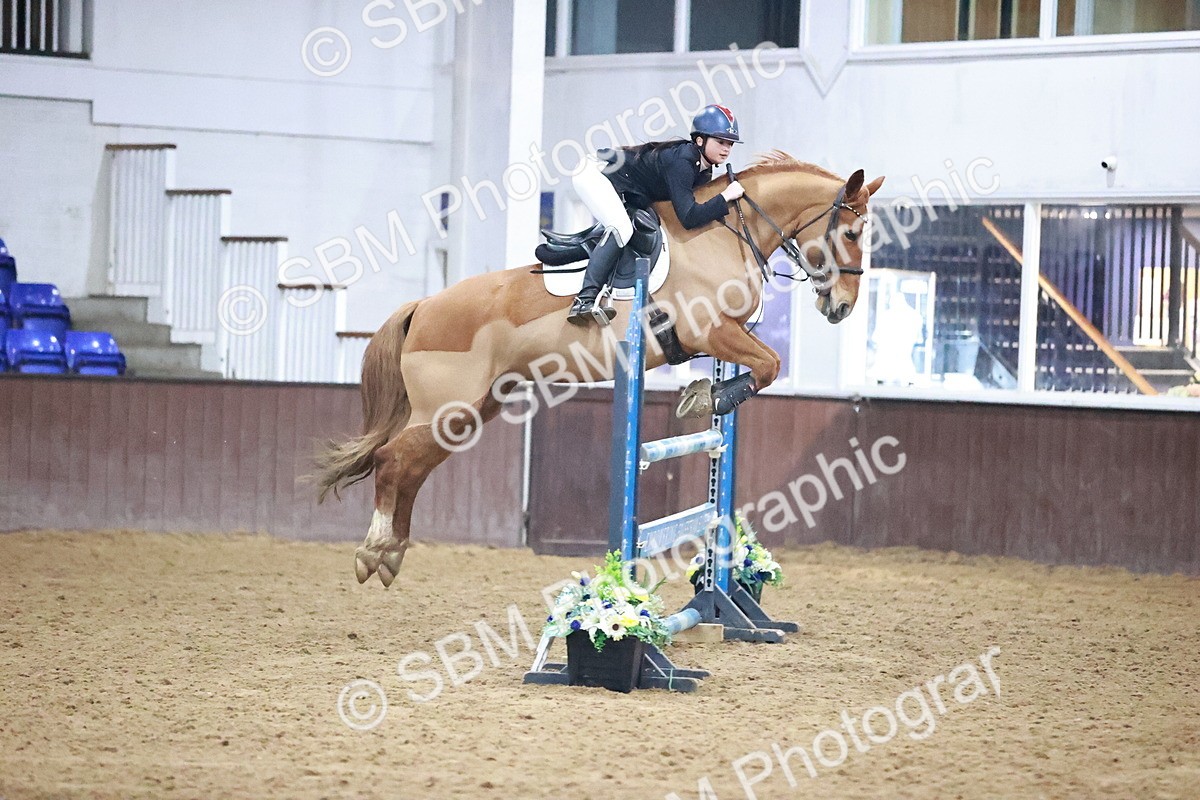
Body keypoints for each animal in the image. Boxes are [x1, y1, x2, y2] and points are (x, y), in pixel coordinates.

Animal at [316, 153, 885, 587]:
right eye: (851, 232)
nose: (842, 307)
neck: (727, 234)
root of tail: (426, 305)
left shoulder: (727, 335)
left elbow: (765, 365)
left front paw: (705, 392)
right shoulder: (710, 332)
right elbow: (769, 365)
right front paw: (707, 398)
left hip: (471, 409)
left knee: (412, 466)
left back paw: (390, 556)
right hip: (445, 406)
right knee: (392, 459)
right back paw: (372, 553)